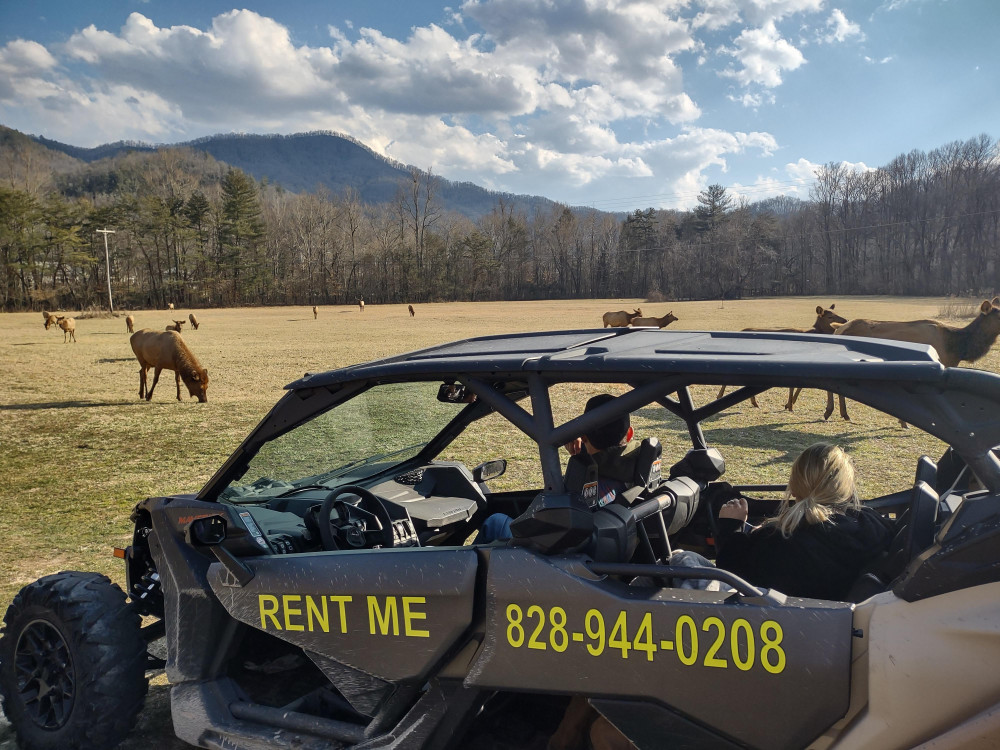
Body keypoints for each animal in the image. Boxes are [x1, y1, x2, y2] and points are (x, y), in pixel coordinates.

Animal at [824, 300, 1000, 428]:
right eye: (998, 315)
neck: (958, 347)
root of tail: (839, 329)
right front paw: (905, 423)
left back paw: (841, 413)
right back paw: (831, 412)